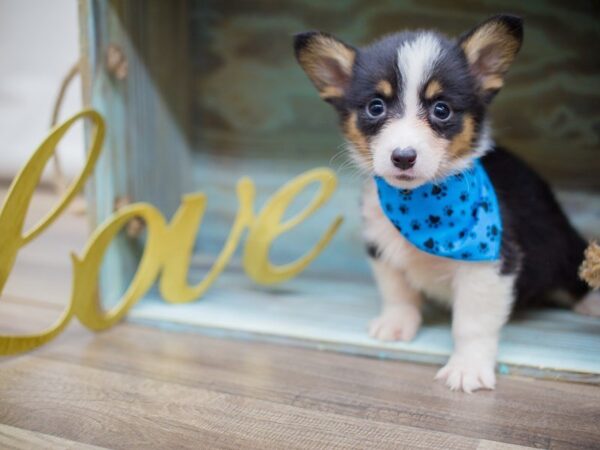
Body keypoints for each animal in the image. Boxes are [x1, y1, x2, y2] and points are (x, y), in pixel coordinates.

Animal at [292, 14, 596, 392]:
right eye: (376, 107)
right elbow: (397, 293)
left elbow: (471, 324)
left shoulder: (490, 266)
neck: (422, 205)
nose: (403, 157)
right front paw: (395, 325)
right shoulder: (381, 246)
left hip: (559, 242)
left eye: (441, 109)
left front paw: (467, 368)